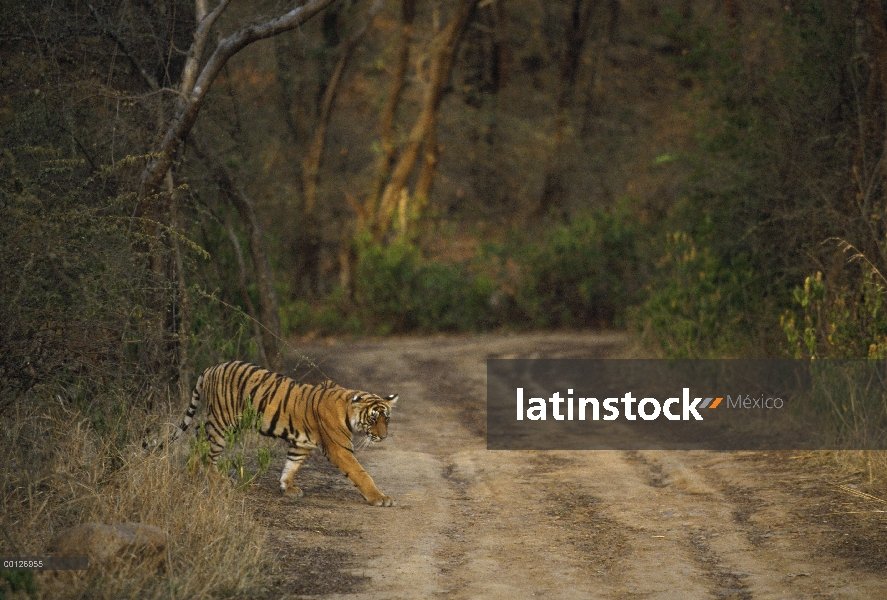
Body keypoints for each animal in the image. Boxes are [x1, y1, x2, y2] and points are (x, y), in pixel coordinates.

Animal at [177, 360, 398, 506]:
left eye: (386, 419)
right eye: (373, 419)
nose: (383, 436)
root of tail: (210, 368)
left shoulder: (301, 444)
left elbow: (291, 465)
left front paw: (287, 488)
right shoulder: (339, 449)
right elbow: (360, 473)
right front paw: (380, 498)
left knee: (199, 436)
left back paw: (193, 470)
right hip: (223, 422)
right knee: (206, 449)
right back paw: (216, 479)